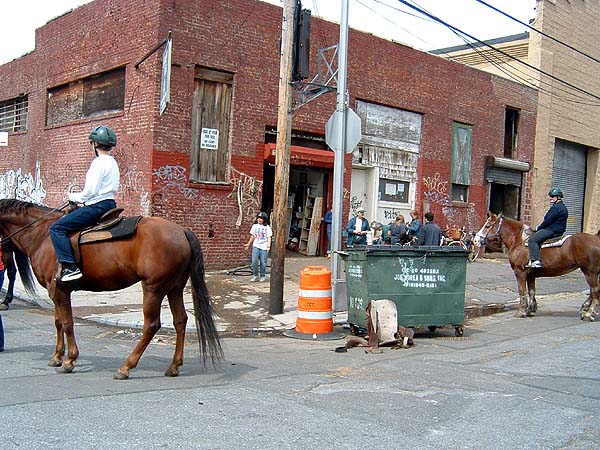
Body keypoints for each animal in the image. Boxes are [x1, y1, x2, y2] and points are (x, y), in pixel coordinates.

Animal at [0, 199, 223, 378]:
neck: (42, 234)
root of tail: (182, 231)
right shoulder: (55, 291)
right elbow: (58, 322)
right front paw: (57, 356)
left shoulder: (60, 290)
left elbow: (67, 323)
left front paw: (69, 360)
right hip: (174, 288)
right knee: (180, 321)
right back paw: (174, 366)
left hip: (153, 288)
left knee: (151, 325)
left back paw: (126, 367)